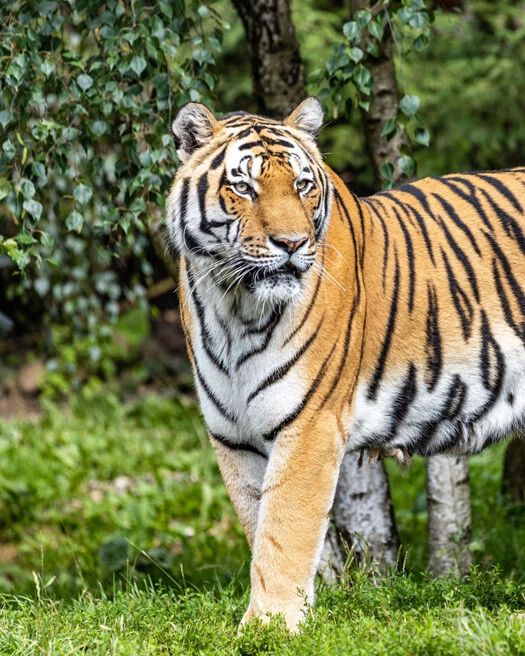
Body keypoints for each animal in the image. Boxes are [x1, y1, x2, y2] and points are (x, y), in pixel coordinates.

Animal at [166, 96, 525, 631]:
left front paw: (270, 626)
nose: (292, 244)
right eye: (243, 187)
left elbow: (284, 533)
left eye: (302, 185)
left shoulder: (309, 425)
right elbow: (259, 525)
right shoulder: (233, 435)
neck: (234, 307)